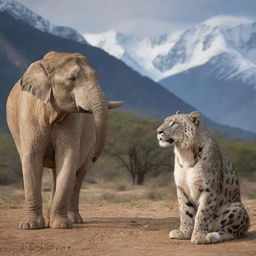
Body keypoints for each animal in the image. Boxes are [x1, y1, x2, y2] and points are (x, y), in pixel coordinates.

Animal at [6, 51, 123, 229]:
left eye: (97, 76)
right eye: (72, 79)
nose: (96, 156)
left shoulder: (72, 118)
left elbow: (67, 156)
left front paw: (61, 226)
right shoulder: (29, 111)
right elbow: (32, 157)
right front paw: (30, 226)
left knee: (79, 174)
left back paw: (74, 220)